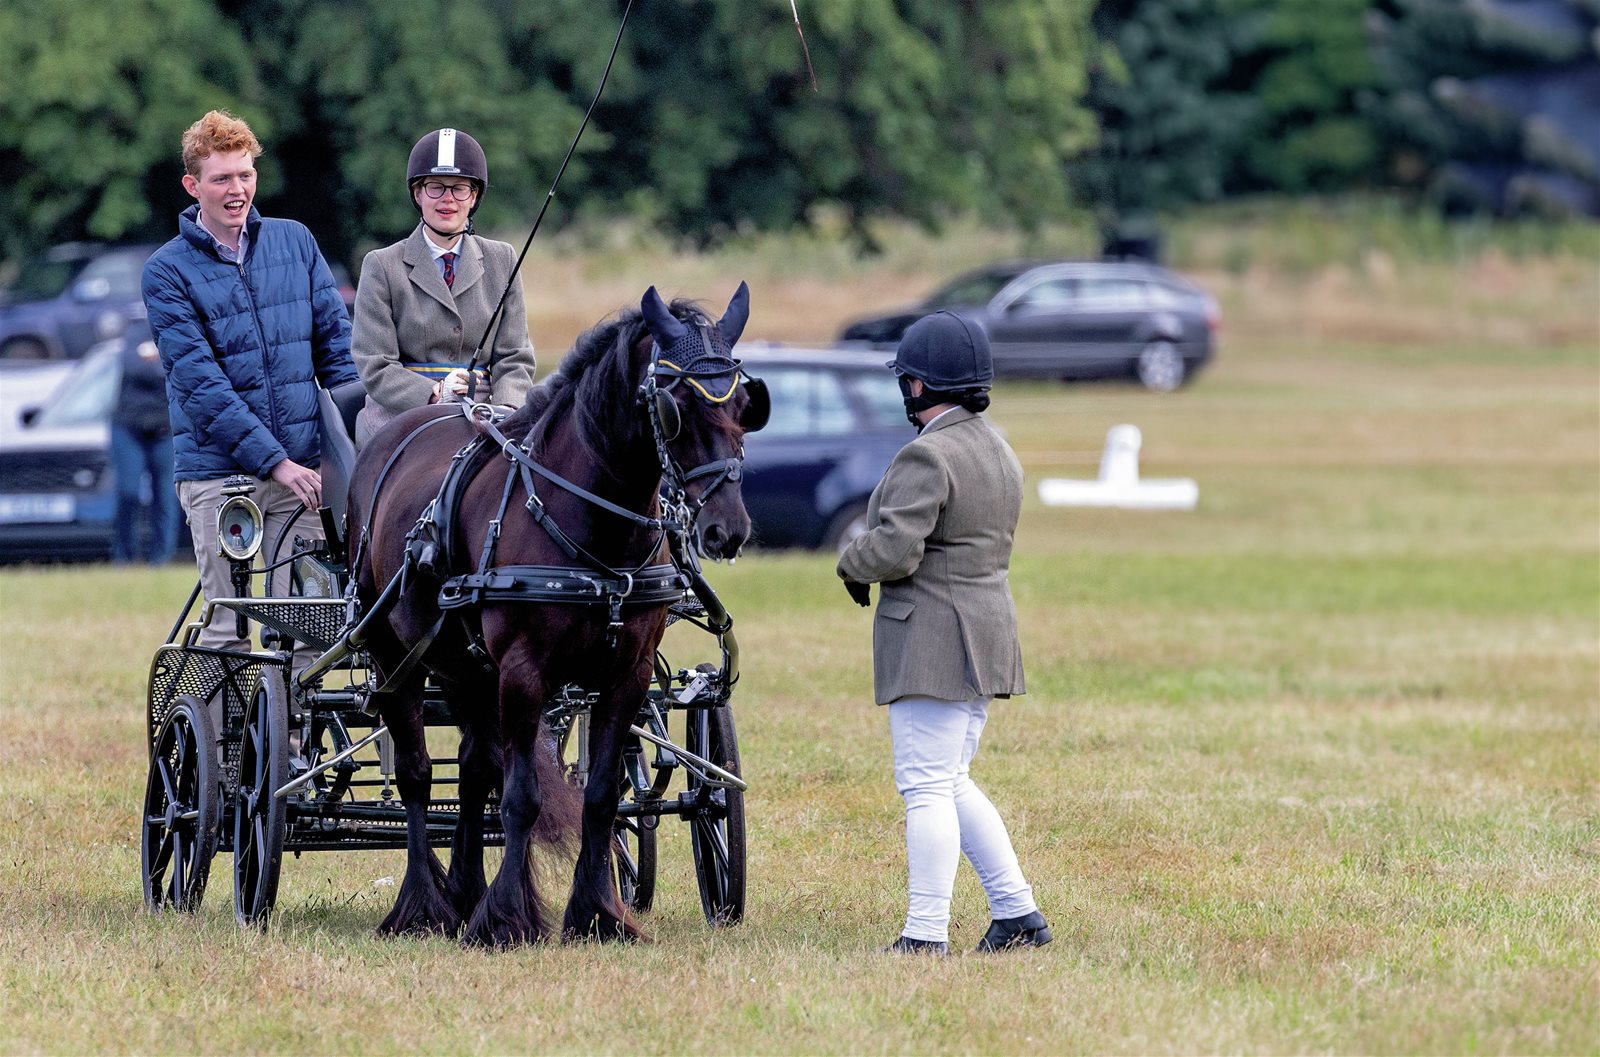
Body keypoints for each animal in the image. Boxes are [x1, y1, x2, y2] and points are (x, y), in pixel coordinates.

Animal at [348, 284, 768, 946]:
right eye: (675, 405)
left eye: (746, 402)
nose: (727, 529)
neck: (591, 525)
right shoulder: (524, 673)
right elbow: (521, 797)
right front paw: (508, 919)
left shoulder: (625, 676)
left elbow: (599, 796)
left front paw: (598, 914)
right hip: (397, 657)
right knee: (417, 774)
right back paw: (422, 907)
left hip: (466, 667)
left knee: (472, 770)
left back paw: (464, 893)